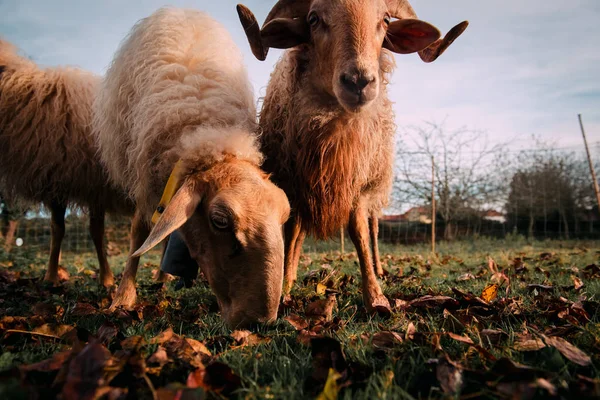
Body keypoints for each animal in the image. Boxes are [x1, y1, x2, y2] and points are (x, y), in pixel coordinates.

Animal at [0, 39, 132, 286]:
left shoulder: (94, 184)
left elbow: (96, 232)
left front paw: (107, 279)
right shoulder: (57, 180)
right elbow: (57, 229)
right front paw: (51, 277)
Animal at [238, 0, 468, 312]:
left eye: (386, 20)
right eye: (313, 19)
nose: (359, 81)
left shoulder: (359, 183)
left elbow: (358, 231)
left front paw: (375, 296)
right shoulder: (294, 182)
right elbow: (292, 232)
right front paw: (284, 286)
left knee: (373, 228)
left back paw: (380, 267)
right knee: (299, 232)